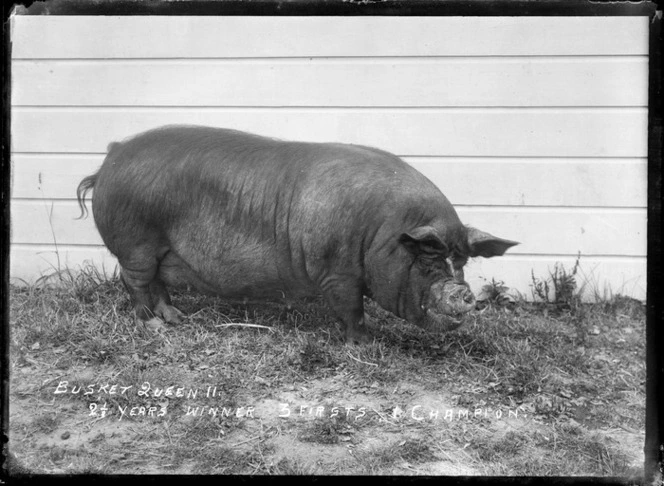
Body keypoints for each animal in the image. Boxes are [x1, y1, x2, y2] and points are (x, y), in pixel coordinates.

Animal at [79, 127, 520, 344]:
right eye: (428, 260)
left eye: (461, 262)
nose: (466, 294)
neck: (381, 234)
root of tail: (112, 156)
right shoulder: (338, 273)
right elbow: (352, 310)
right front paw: (366, 343)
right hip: (136, 243)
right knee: (134, 283)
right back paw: (153, 327)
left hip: (160, 249)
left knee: (158, 284)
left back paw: (176, 319)